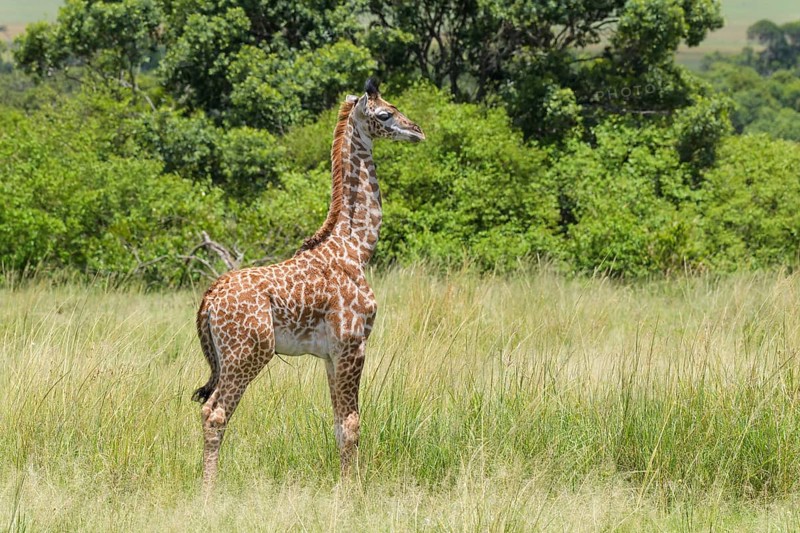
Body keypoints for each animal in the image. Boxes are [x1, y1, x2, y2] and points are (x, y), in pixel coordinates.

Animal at [192, 78, 424, 493]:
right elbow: (352, 425)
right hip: (247, 354)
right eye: (385, 114)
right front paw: (351, 493)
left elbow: (337, 425)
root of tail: (208, 301)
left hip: (227, 357)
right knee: (215, 413)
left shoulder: (331, 354)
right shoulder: (353, 343)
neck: (356, 248)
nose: (417, 131)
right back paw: (208, 493)